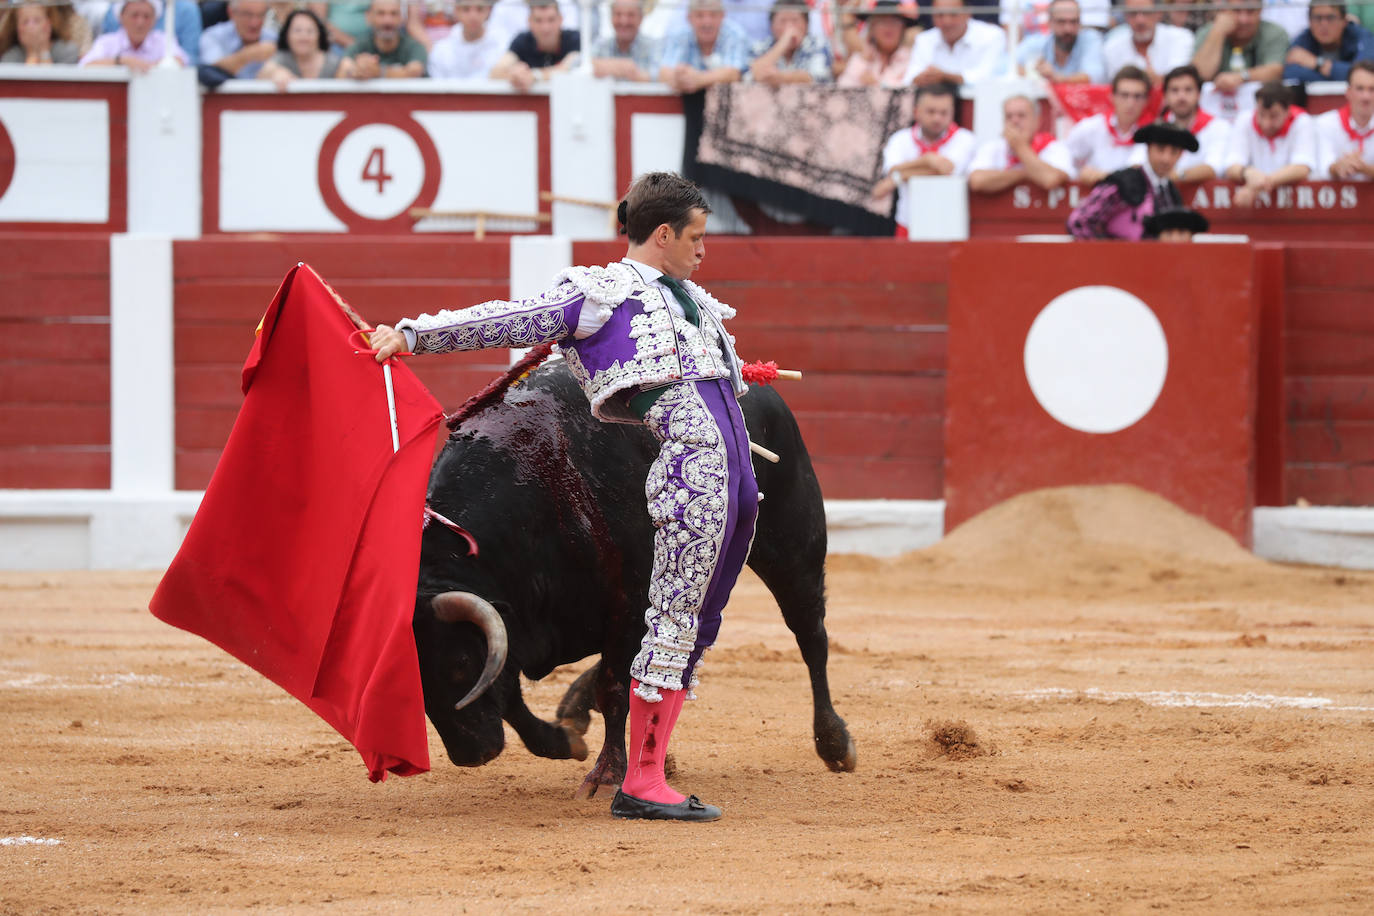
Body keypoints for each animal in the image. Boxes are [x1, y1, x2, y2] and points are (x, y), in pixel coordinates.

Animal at [412, 362, 851, 796]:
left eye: (461, 663)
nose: (471, 754)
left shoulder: (632, 598)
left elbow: (614, 688)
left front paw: (606, 775)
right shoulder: (518, 628)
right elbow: (513, 696)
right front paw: (564, 741)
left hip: (793, 547)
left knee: (809, 633)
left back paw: (834, 743)